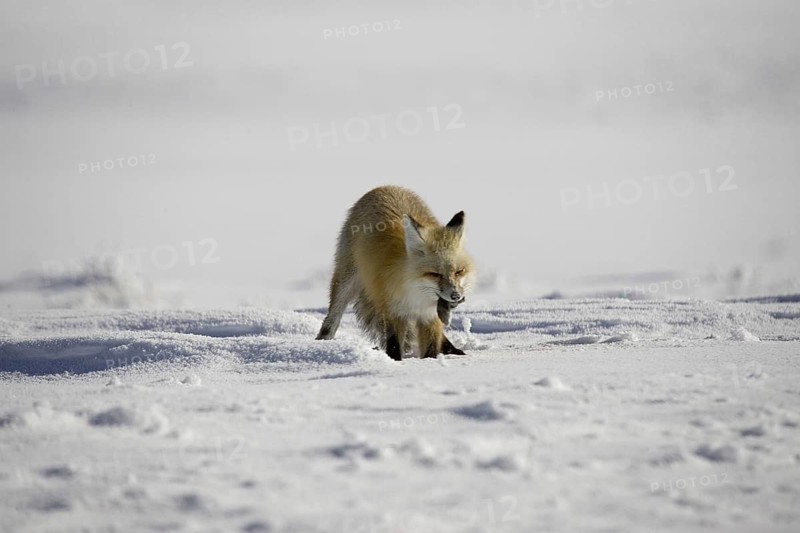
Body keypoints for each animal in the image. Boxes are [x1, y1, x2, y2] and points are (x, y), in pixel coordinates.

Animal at [316, 185, 476, 360]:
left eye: (459, 272)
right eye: (435, 274)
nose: (456, 296)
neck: (417, 296)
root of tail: (384, 187)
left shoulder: (430, 317)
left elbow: (432, 347)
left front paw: (431, 361)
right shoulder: (393, 311)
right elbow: (394, 345)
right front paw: (396, 362)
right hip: (347, 283)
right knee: (331, 319)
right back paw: (322, 344)